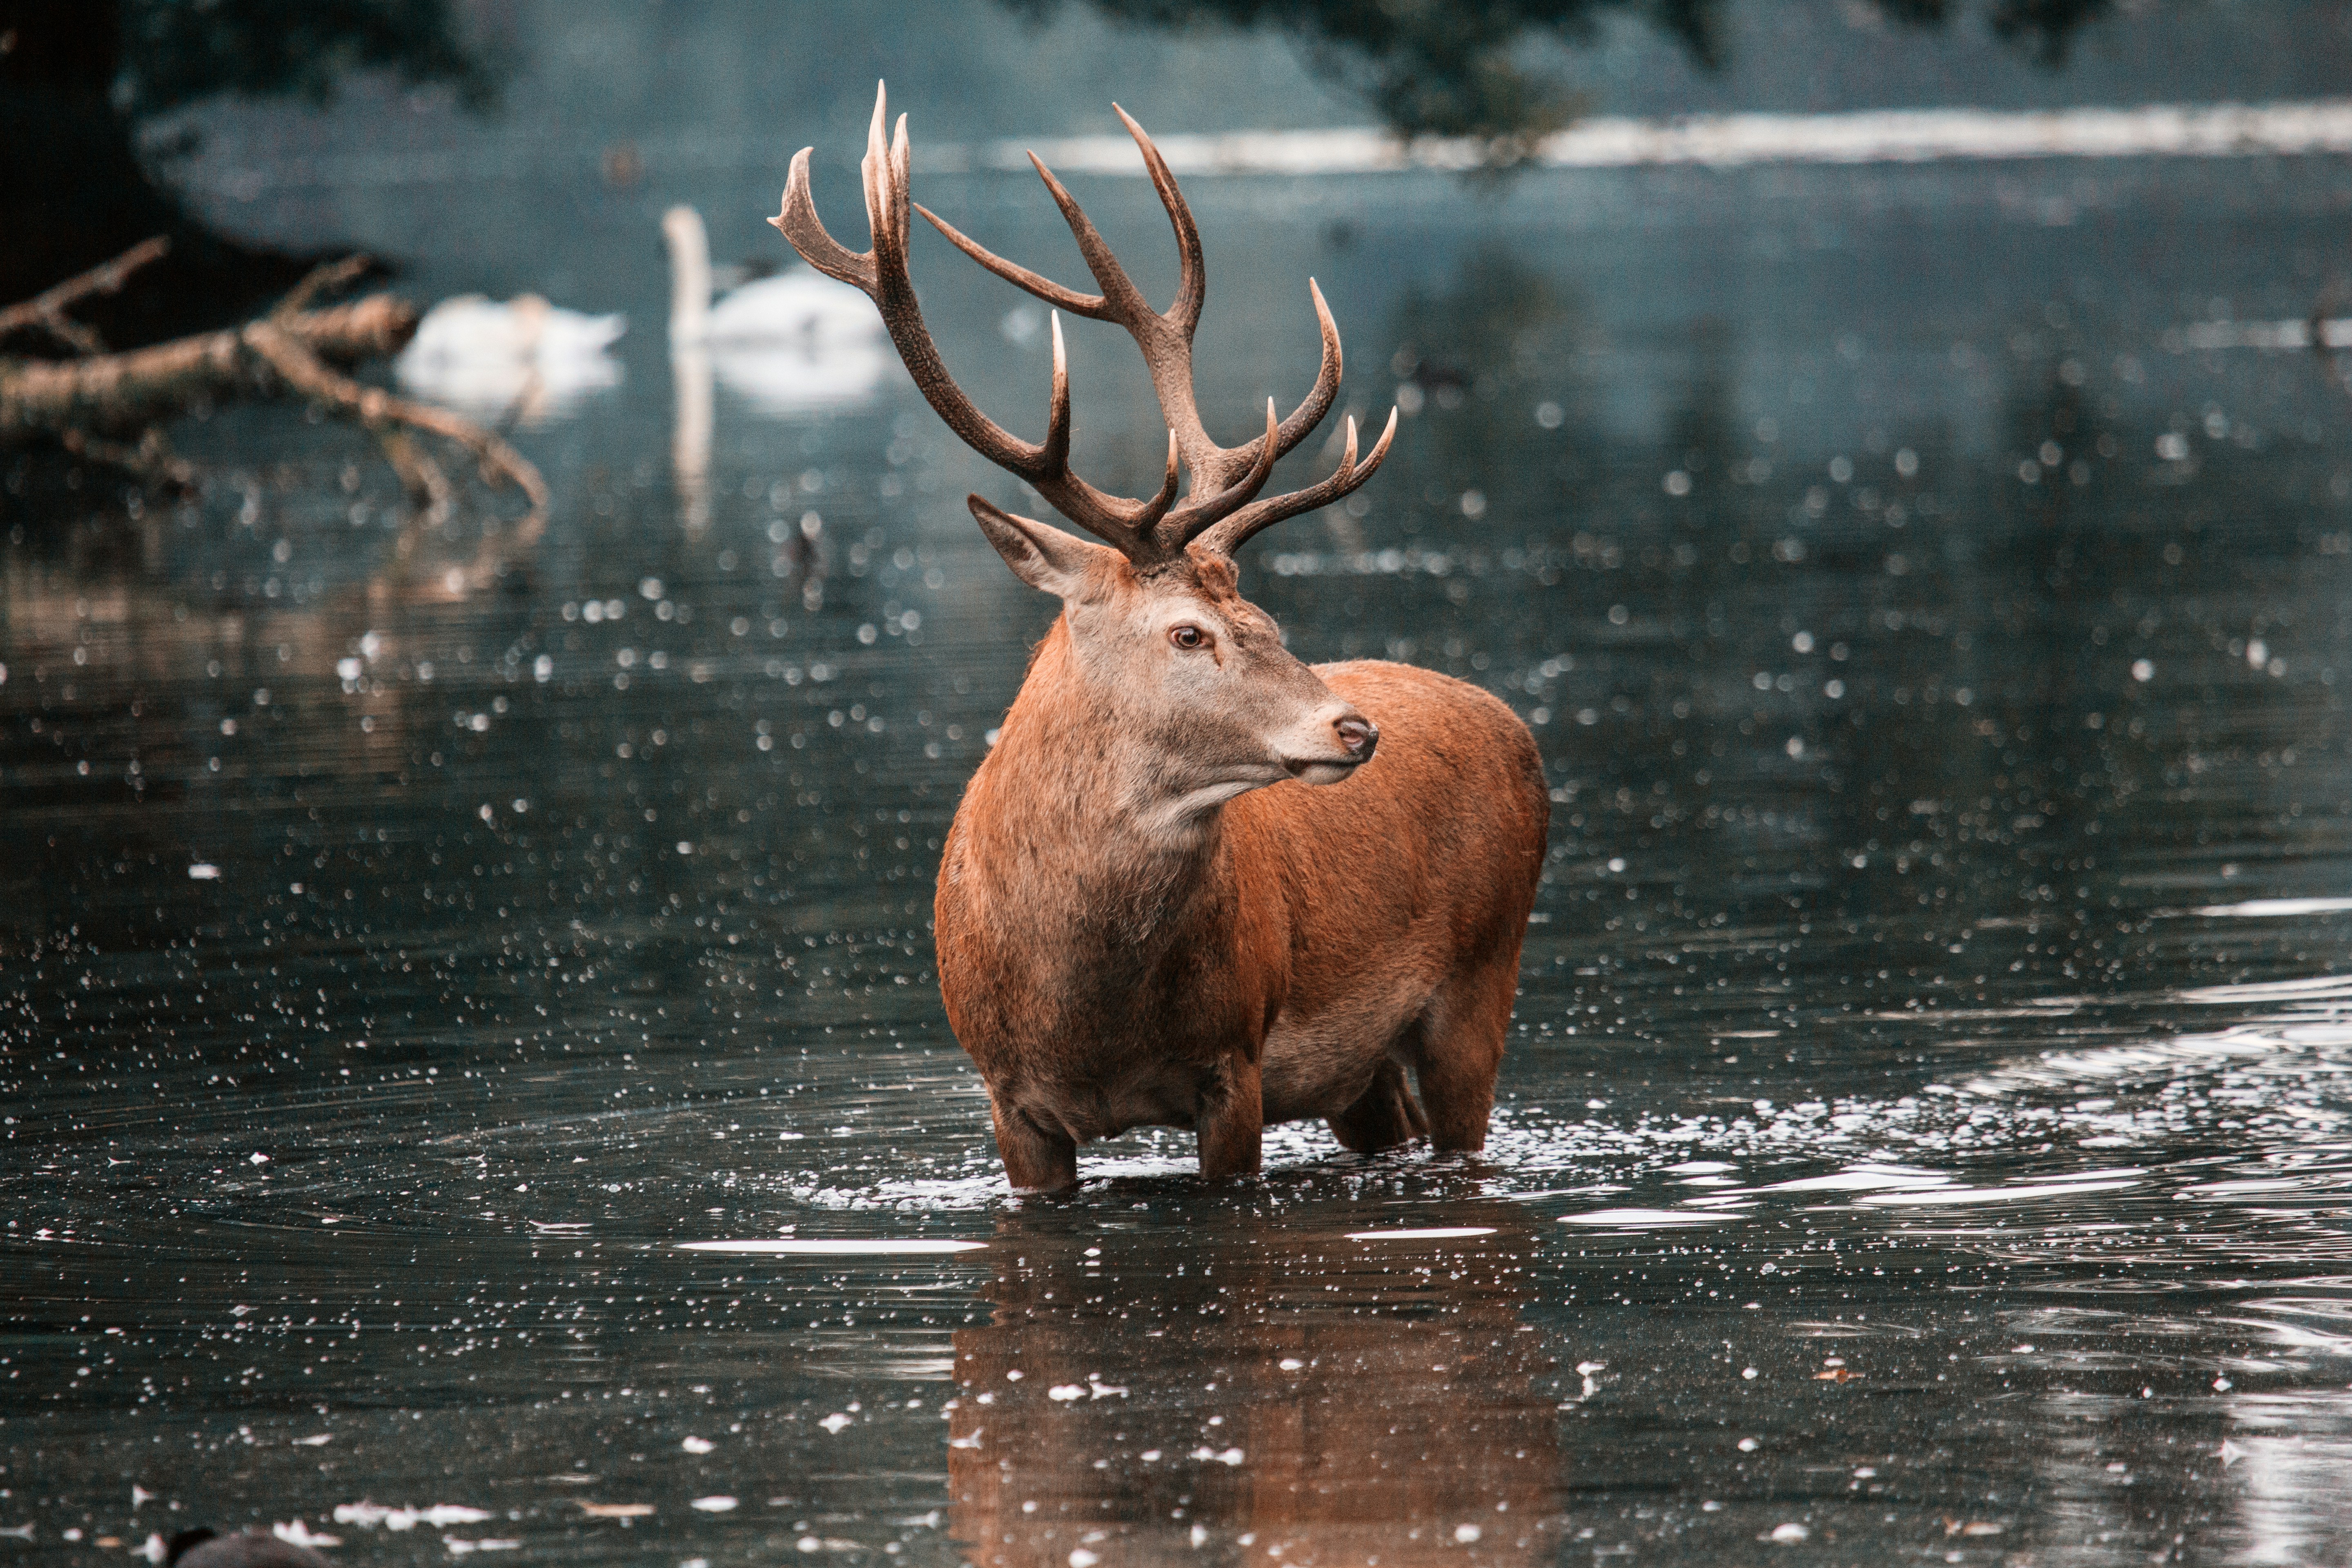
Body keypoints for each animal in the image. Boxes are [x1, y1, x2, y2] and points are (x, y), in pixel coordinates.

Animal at [773, 85, 1549, 1191]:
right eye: (1188, 633)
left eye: (1265, 619)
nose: (1354, 729)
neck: (1085, 1018)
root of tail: (1513, 725)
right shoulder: (1005, 1097)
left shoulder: (1236, 1060)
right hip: (1362, 1070)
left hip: (1484, 974)